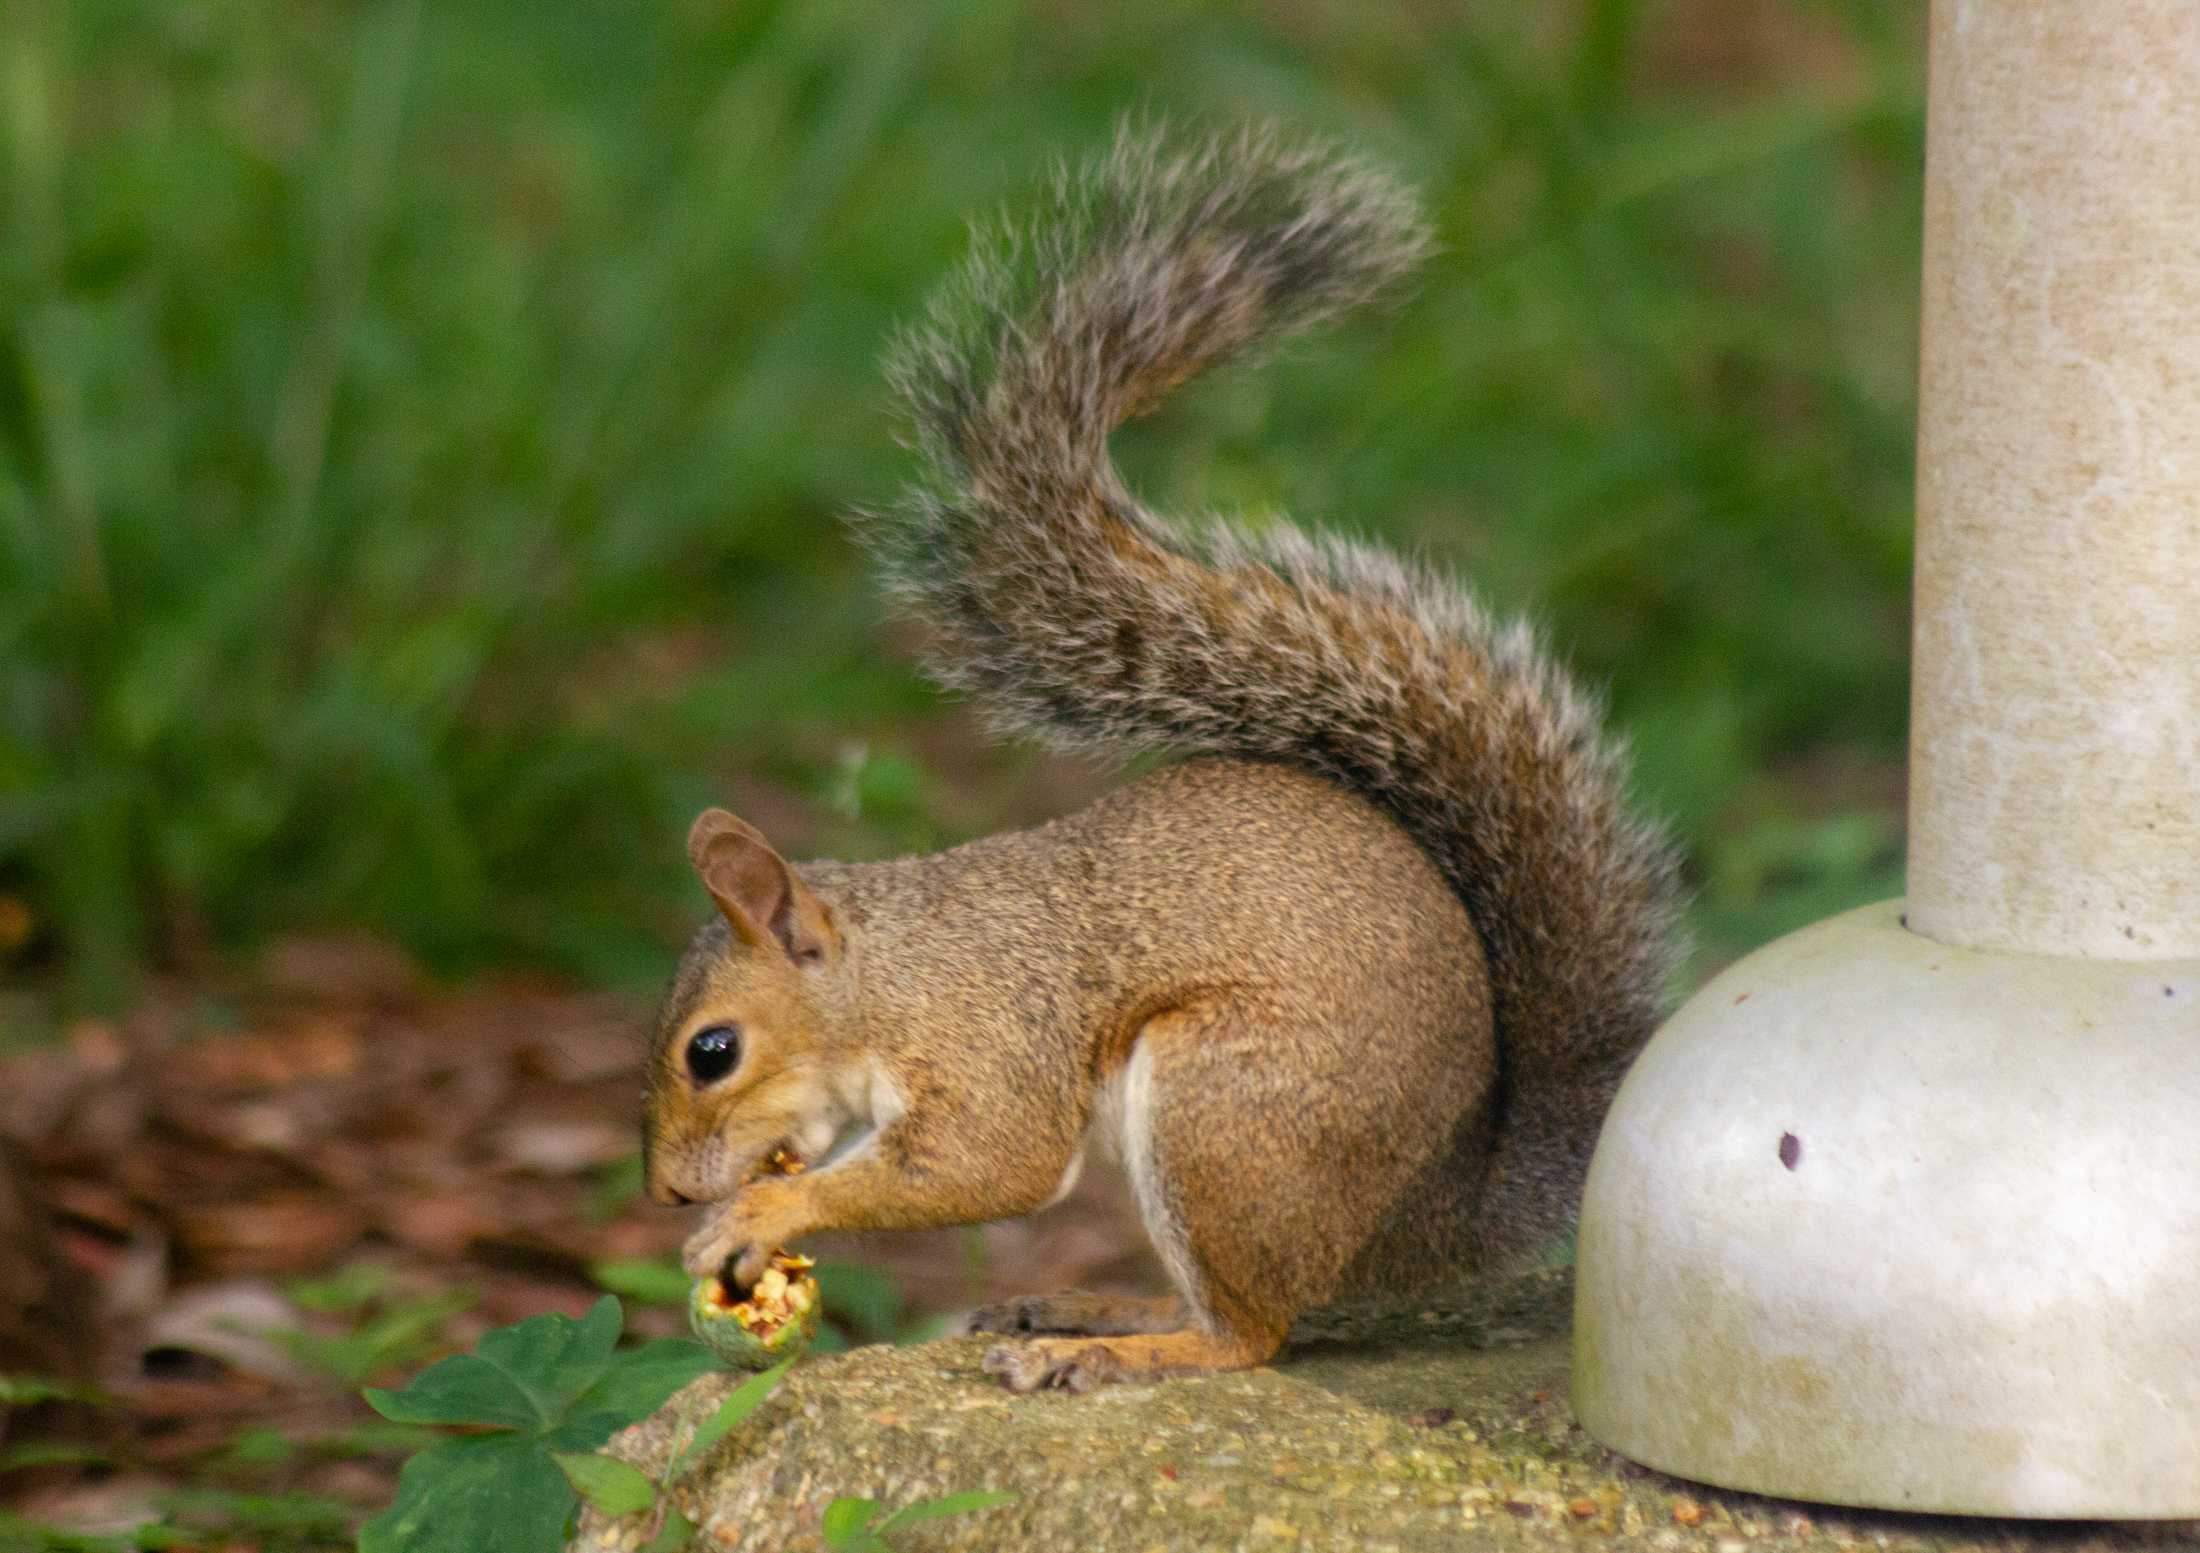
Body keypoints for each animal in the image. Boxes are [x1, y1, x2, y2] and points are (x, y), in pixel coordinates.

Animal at [642, 124, 1680, 1390]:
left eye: (712, 1051)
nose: (668, 1188)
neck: (891, 973)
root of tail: (1443, 1212)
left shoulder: (990, 1033)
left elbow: (987, 1161)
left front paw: (756, 1217)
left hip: (1225, 1111)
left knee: (1251, 1333)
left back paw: (1121, 1350)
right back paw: (1090, 1302)